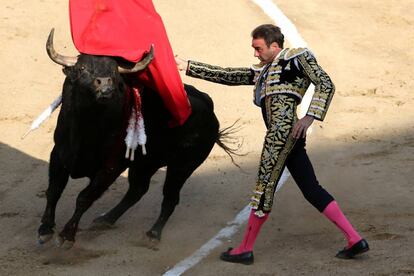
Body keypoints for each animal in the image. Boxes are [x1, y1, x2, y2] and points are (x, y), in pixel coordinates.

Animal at [38, 29, 239, 249]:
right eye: (82, 68)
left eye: (115, 73)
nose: (105, 85)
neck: (87, 129)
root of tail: (210, 110)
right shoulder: (59, 154)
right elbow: (54, 190)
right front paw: (45, 229)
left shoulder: (111, 166)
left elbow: (85, 197)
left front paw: (67, 235)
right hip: (146, 163)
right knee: (137, 190)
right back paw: (106, 219)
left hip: (183, 166)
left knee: (170, 197)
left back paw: (153, 234)